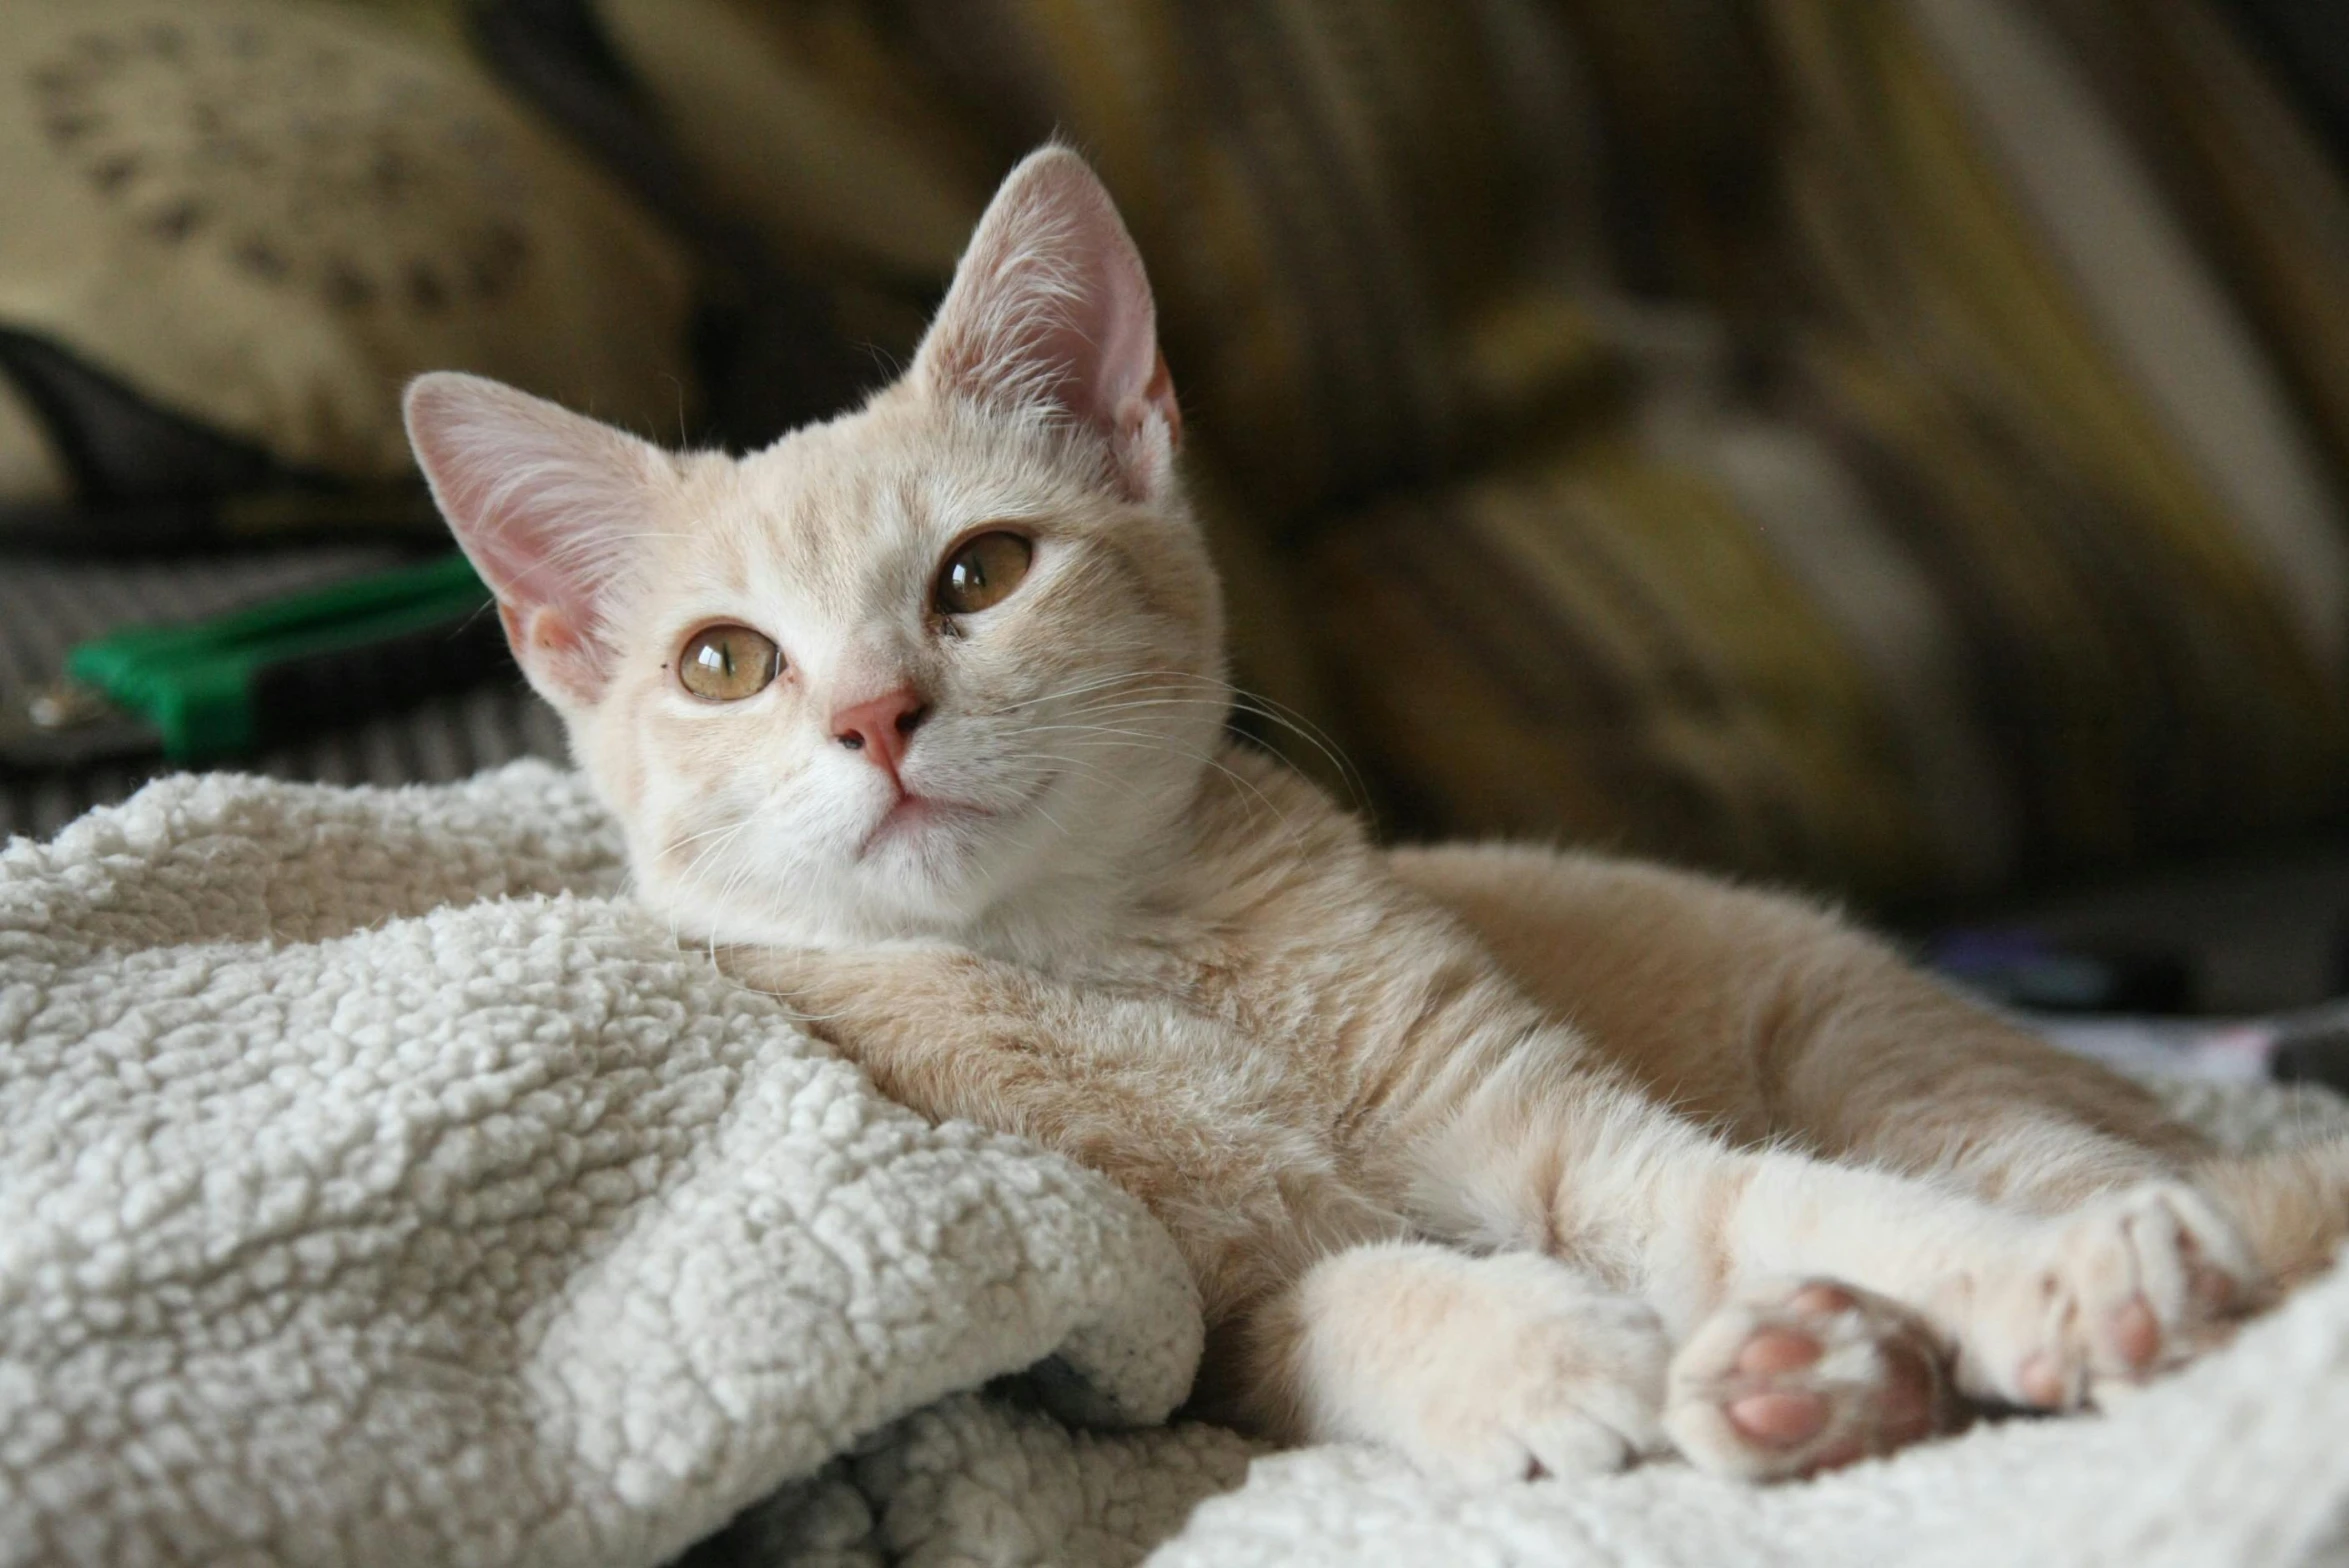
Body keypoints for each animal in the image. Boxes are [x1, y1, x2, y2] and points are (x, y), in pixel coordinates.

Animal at [404, 143, 2349, 1483]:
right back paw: (1803, 1375)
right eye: (723, 663)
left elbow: (1797, 1201)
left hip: (1890, 1055)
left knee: (2160, 1189)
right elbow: (1347, 1295)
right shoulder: (1189, 1335)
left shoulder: (1584, 1139)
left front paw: (2036, 1281)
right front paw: (1546, 1353)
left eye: (981, 570)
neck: (1122, 966)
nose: (876, 713)